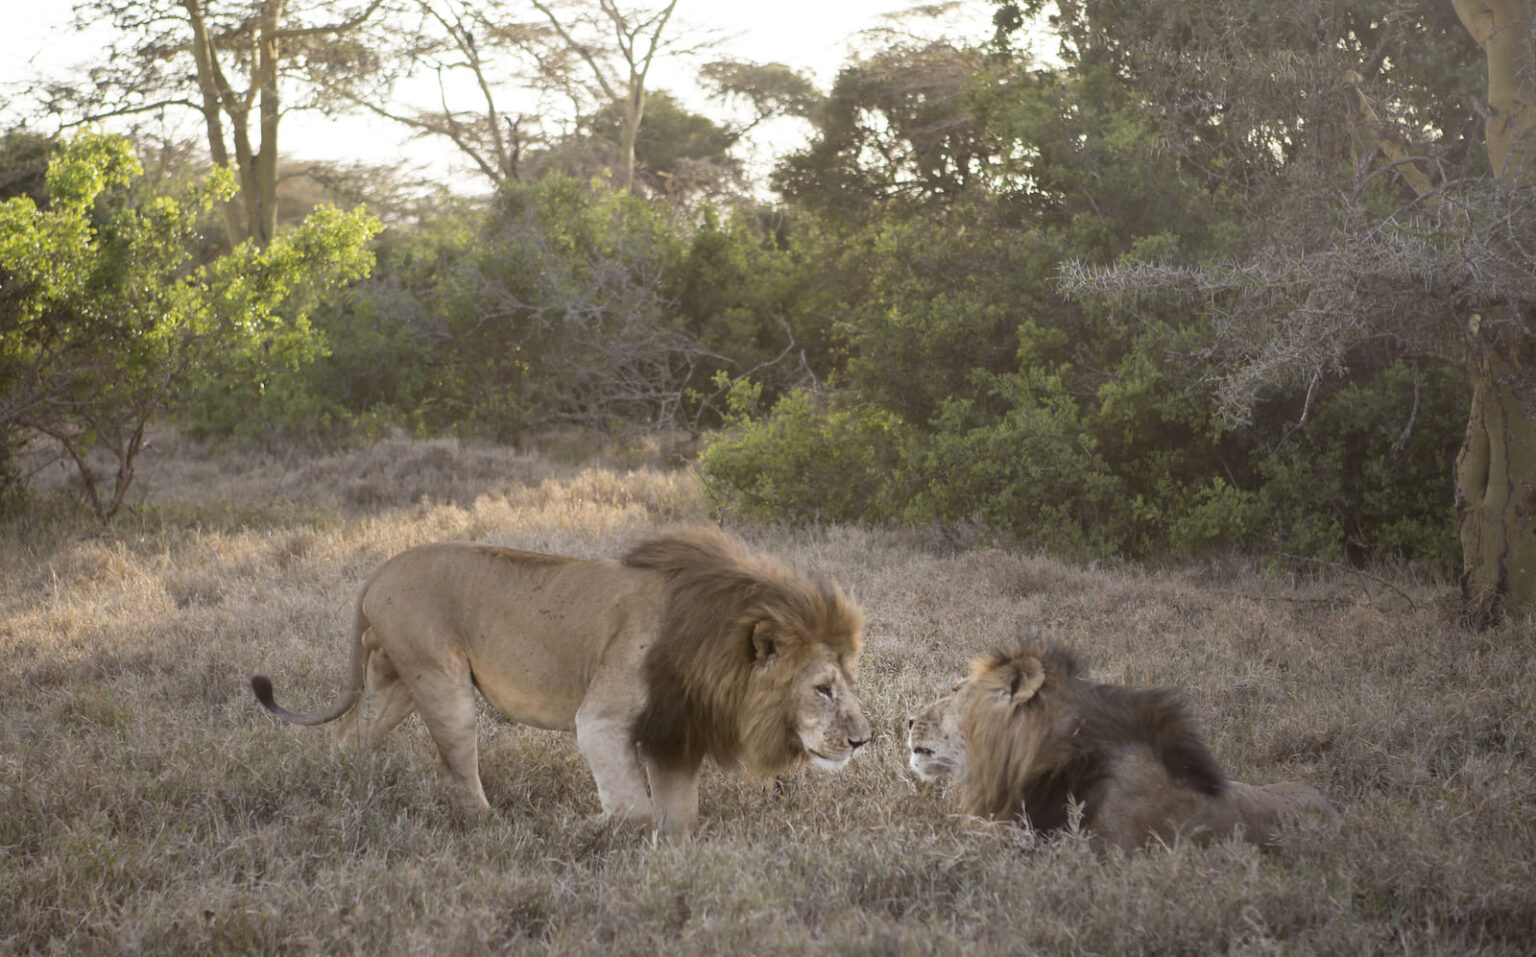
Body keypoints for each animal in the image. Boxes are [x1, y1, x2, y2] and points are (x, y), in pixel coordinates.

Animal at [250, 526, 871, 837]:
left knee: (347, 737)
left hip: (394, 682)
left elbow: (679, 818)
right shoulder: (601, 720)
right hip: (440, 683)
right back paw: (499, 830)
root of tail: (378, 572)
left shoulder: (675, 731)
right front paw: (583, 825)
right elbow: (636, 810)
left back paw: (340, 795)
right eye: (822, 688)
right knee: (459, 772)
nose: (865, 740)